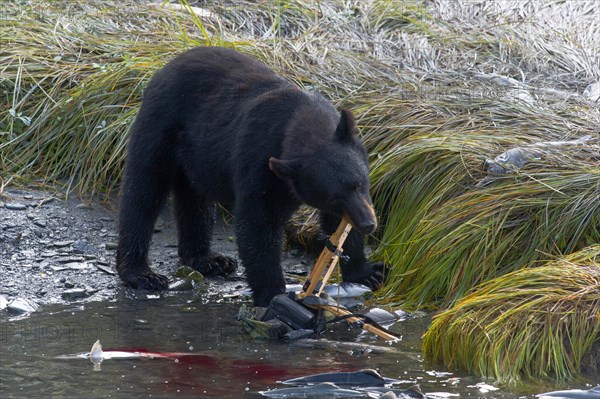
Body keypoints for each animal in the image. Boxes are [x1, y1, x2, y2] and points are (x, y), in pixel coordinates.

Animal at [116, 47, 386, 306]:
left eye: (360, 183)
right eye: (333, 197)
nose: (368, 224)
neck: (302, 118)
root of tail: (162, 69)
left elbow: (338, 228)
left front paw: (367, 271)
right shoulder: (260, 162)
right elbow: (258, 221)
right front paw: (273, 293)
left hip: (196, 157)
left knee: (195, 202)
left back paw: (209, 259)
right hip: (159, 128)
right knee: (143, 193)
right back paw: (142, 273)